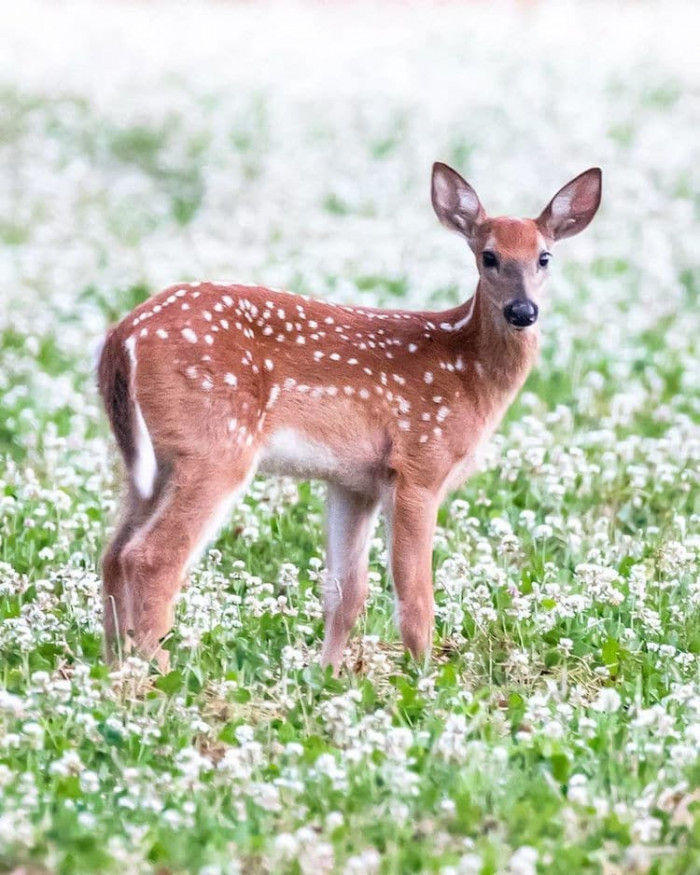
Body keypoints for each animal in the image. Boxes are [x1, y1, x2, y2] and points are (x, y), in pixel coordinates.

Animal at [98, 162, 602, 674]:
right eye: (489, 256)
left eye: (544, 257)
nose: (523, 311)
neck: (468, 372)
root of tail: (122, 336)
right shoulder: (419, 463)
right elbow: (415, 599)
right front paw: (427, 678)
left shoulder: (355, 482)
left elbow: (346, 594)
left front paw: (328, 676)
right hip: (216, 446)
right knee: (151, 557)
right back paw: (160, 672)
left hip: (155, 461)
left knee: (113, 554)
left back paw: (114, 667)